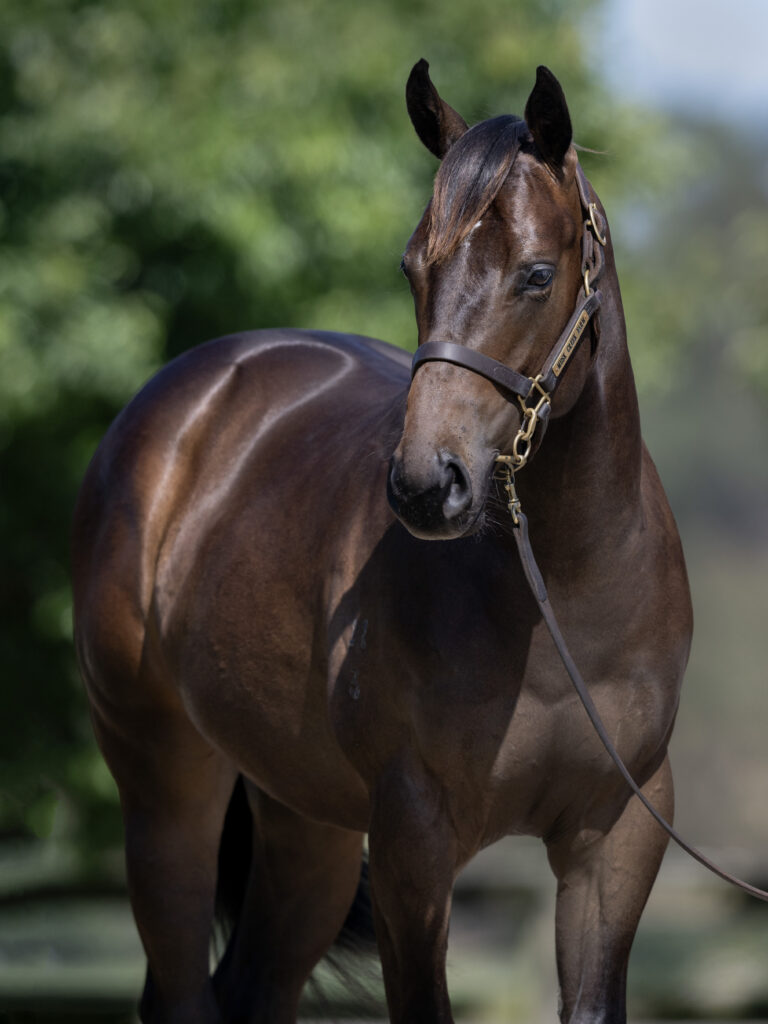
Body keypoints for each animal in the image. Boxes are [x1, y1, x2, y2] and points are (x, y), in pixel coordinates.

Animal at [72, 59, 696, 1019]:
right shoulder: (414, 839)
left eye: (536, 273)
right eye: (414, 266)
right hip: (166, 788)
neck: (562, 599)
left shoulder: (616, 839)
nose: (426, 486)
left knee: (255, 986)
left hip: (309, 824)